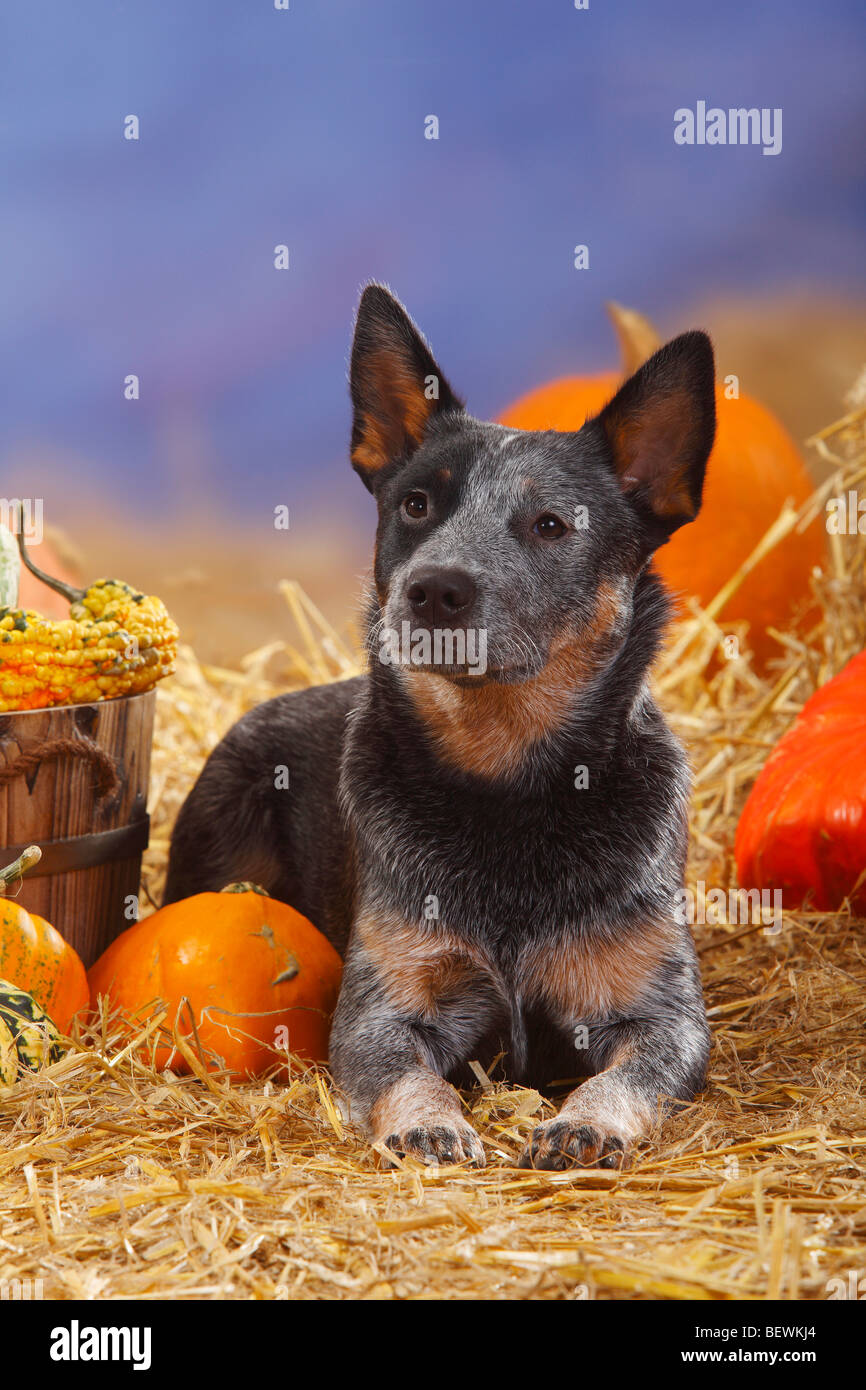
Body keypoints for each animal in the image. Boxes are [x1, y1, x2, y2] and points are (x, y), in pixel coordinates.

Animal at [166, 284, 717, 1173]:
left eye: (551, 524)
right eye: (416, 505)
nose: (433, 589)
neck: (506, 789)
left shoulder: (662, 1013)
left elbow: (631, 1075)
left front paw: (587, 1123)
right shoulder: (384, 1006)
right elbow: (403, 1070)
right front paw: (430, 1123)